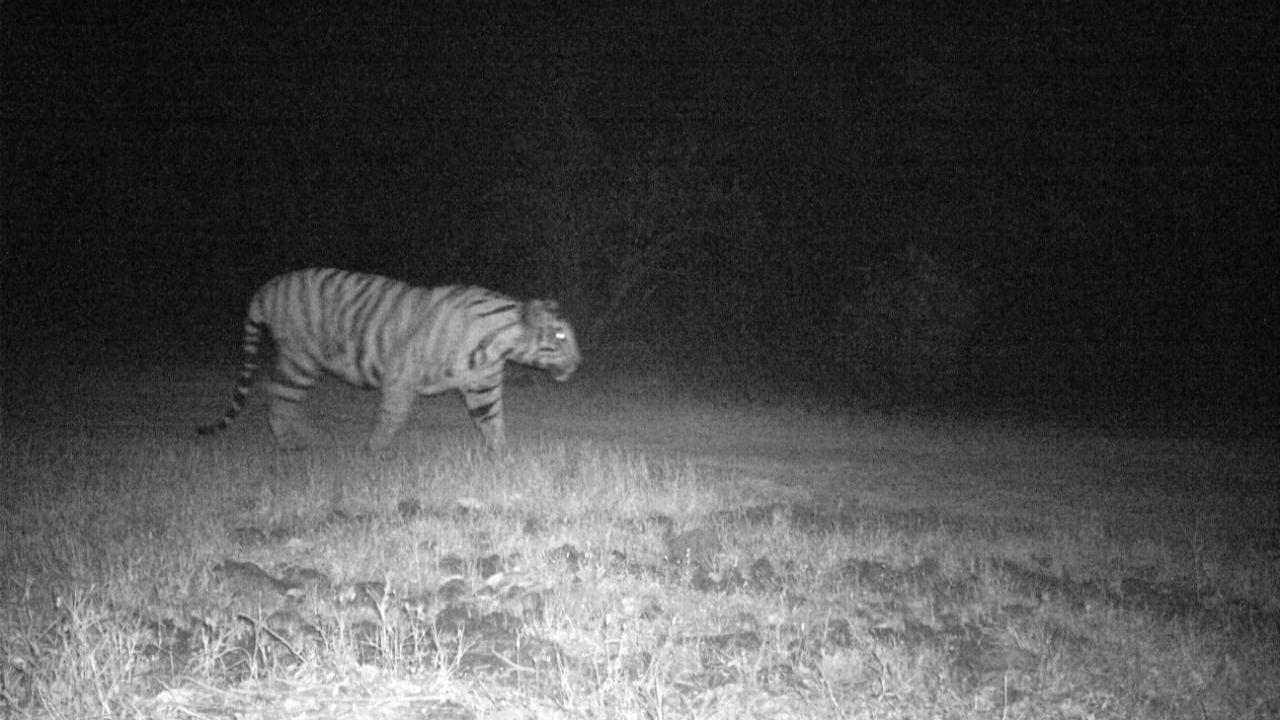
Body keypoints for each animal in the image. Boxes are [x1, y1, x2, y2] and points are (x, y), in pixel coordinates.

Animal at [197, 268, 581, 452]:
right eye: (560, 337)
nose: (579, 363)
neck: (496, 344)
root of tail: (267, 288)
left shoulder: (482, 386)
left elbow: (492, 420)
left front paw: (501, 455)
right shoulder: (401, 376)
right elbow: (391, 417)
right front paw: (374, 451)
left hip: (306, 363)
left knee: (283, 398)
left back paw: (309, 435)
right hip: (301, 358)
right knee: (277, 397)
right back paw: (292, 443)